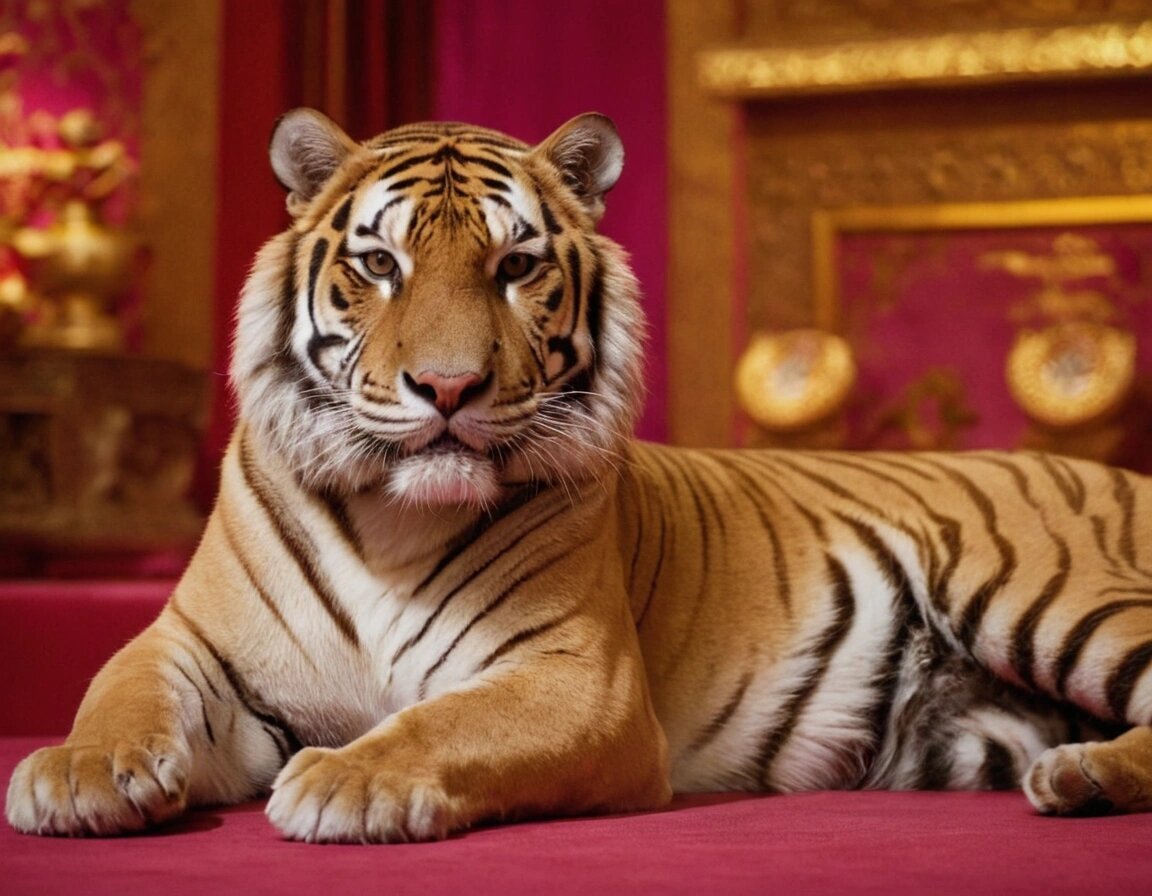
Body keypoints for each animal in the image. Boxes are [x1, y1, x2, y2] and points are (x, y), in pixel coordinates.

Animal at [6, 108, 1152, 844]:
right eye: (380, 264)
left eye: (516, 266)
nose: (448, 386)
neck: (390, 521)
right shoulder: (192, 643)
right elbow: (118, 687)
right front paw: (76, 773)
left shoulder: (574, 677)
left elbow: (445, 721)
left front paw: (342, 778)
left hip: (1037, 588)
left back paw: (1082, 777)